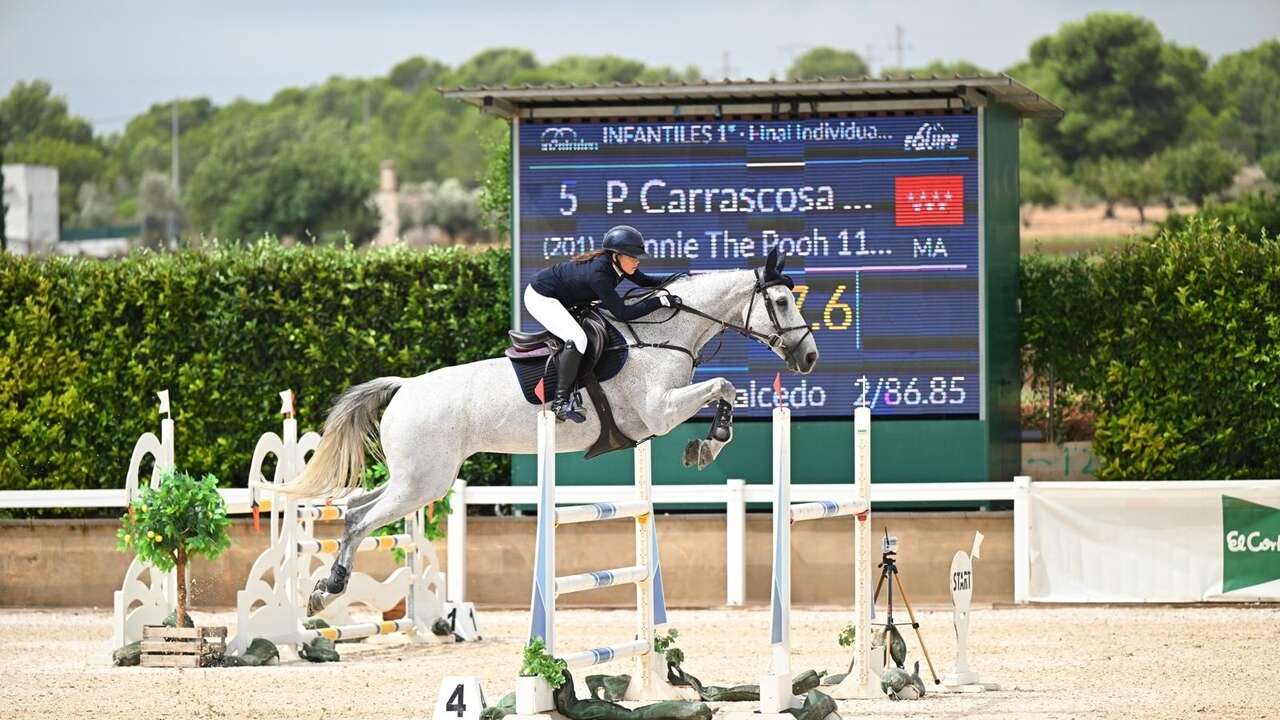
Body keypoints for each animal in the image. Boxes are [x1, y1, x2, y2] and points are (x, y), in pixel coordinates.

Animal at [282, 245, 819, 609]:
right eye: (782, 303)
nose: (809, 357)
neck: (663, 336)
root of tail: (406, 386)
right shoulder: (659, 411)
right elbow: (724, 386)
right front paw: (708, 445)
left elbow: (725, 389)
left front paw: (705, 446)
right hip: (423, 481)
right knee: (360, 520)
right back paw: (329, 589)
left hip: (414, 480)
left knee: (356, 508)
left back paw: (323, 590)